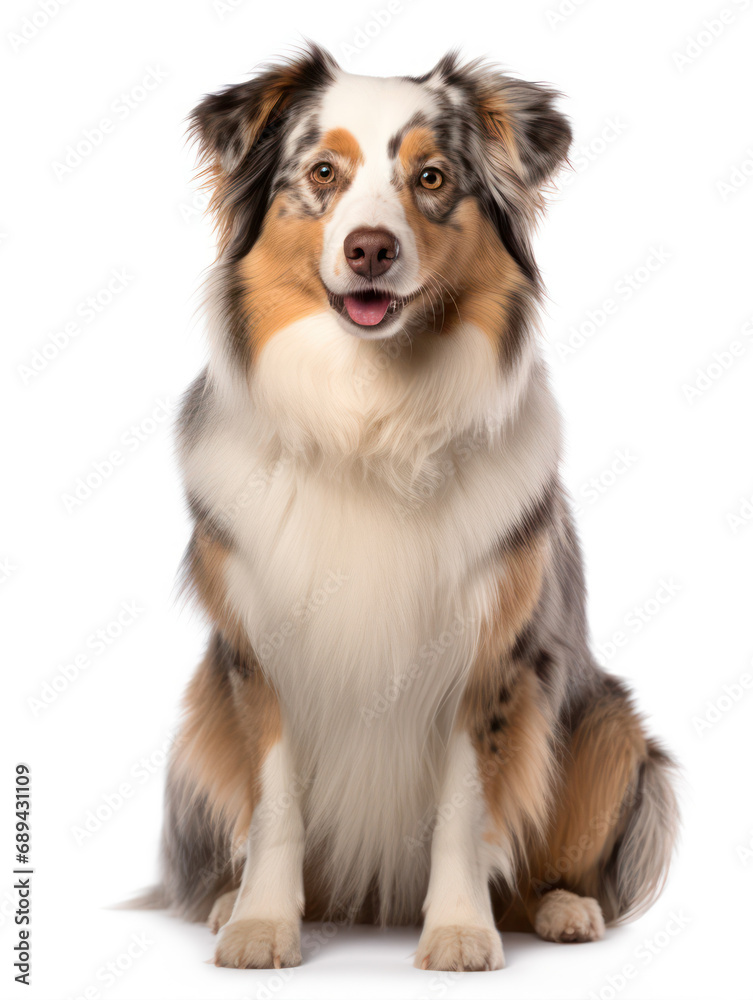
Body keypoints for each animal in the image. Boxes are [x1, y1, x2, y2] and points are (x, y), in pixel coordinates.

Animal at [144, 45, 680, 968]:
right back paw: (224, 901)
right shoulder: (260, 652)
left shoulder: (491, 655)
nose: (370, 249)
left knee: (549, 863)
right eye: (322, 172)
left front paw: (460, 933)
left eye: (430, 178)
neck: (371, 421)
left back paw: (563, 909)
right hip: (200, 719)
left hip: (609, 726)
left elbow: (465, 809)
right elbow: (275, 802)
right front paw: (260, 924)